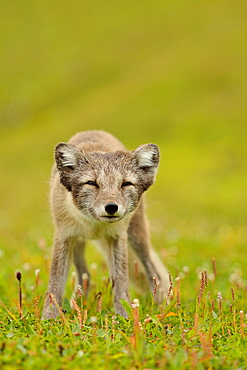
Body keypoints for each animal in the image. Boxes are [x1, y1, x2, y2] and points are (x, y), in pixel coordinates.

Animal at [43, 131, 170, 318]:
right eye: (91, 183)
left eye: (126, 184)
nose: (111, 207)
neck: (95, 226)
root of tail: (94, 130)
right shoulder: (63, 236)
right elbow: (55, 283)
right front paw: (49, 316)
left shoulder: (118, 238)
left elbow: (121, 282)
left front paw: (124, 316)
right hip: (77, 243)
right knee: (85, 275)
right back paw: (76, 306)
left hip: (136, 238)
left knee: (153, 273)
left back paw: (159, 305)